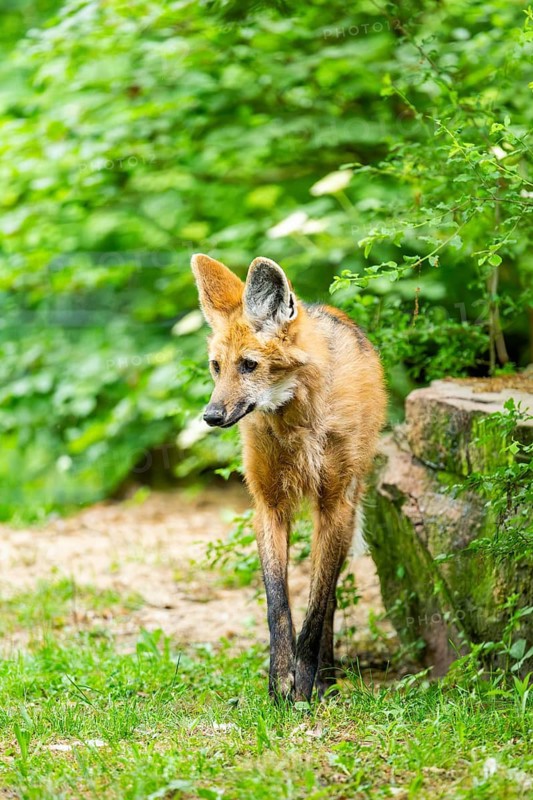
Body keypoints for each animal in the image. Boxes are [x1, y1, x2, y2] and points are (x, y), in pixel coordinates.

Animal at [192, 253, 386, 701]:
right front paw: (280, 679)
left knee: (329, 595)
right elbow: (277, 603)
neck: (296, 421)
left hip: (345, 506)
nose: (211, 416)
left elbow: (317, 605)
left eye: (249, 365)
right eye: (216, 367)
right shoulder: (269, 504)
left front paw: (306, 682)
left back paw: (328, 675)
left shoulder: (334, 502)